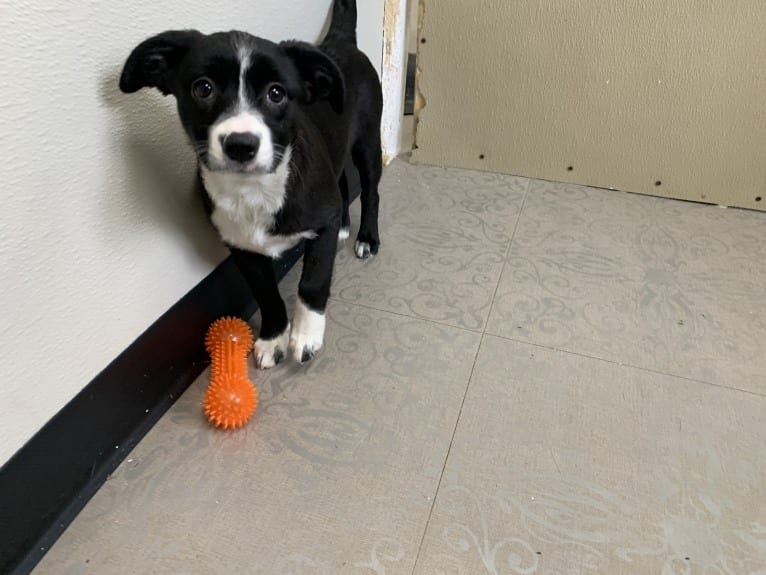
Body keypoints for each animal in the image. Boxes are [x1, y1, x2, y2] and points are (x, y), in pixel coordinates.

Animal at [121, 0, 384, 366]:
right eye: (203, 88)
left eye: (276, 93)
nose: (240, 144)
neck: (255, 190)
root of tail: (341, 42)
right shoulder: (241, 246)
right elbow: (265, 292)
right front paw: (274, 337)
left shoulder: (318, 221)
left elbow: (313, 281)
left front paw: (306, 336)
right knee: (343, 183)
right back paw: (344, 225)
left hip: (368, 142)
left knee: (370, 191)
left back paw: (367, 238)